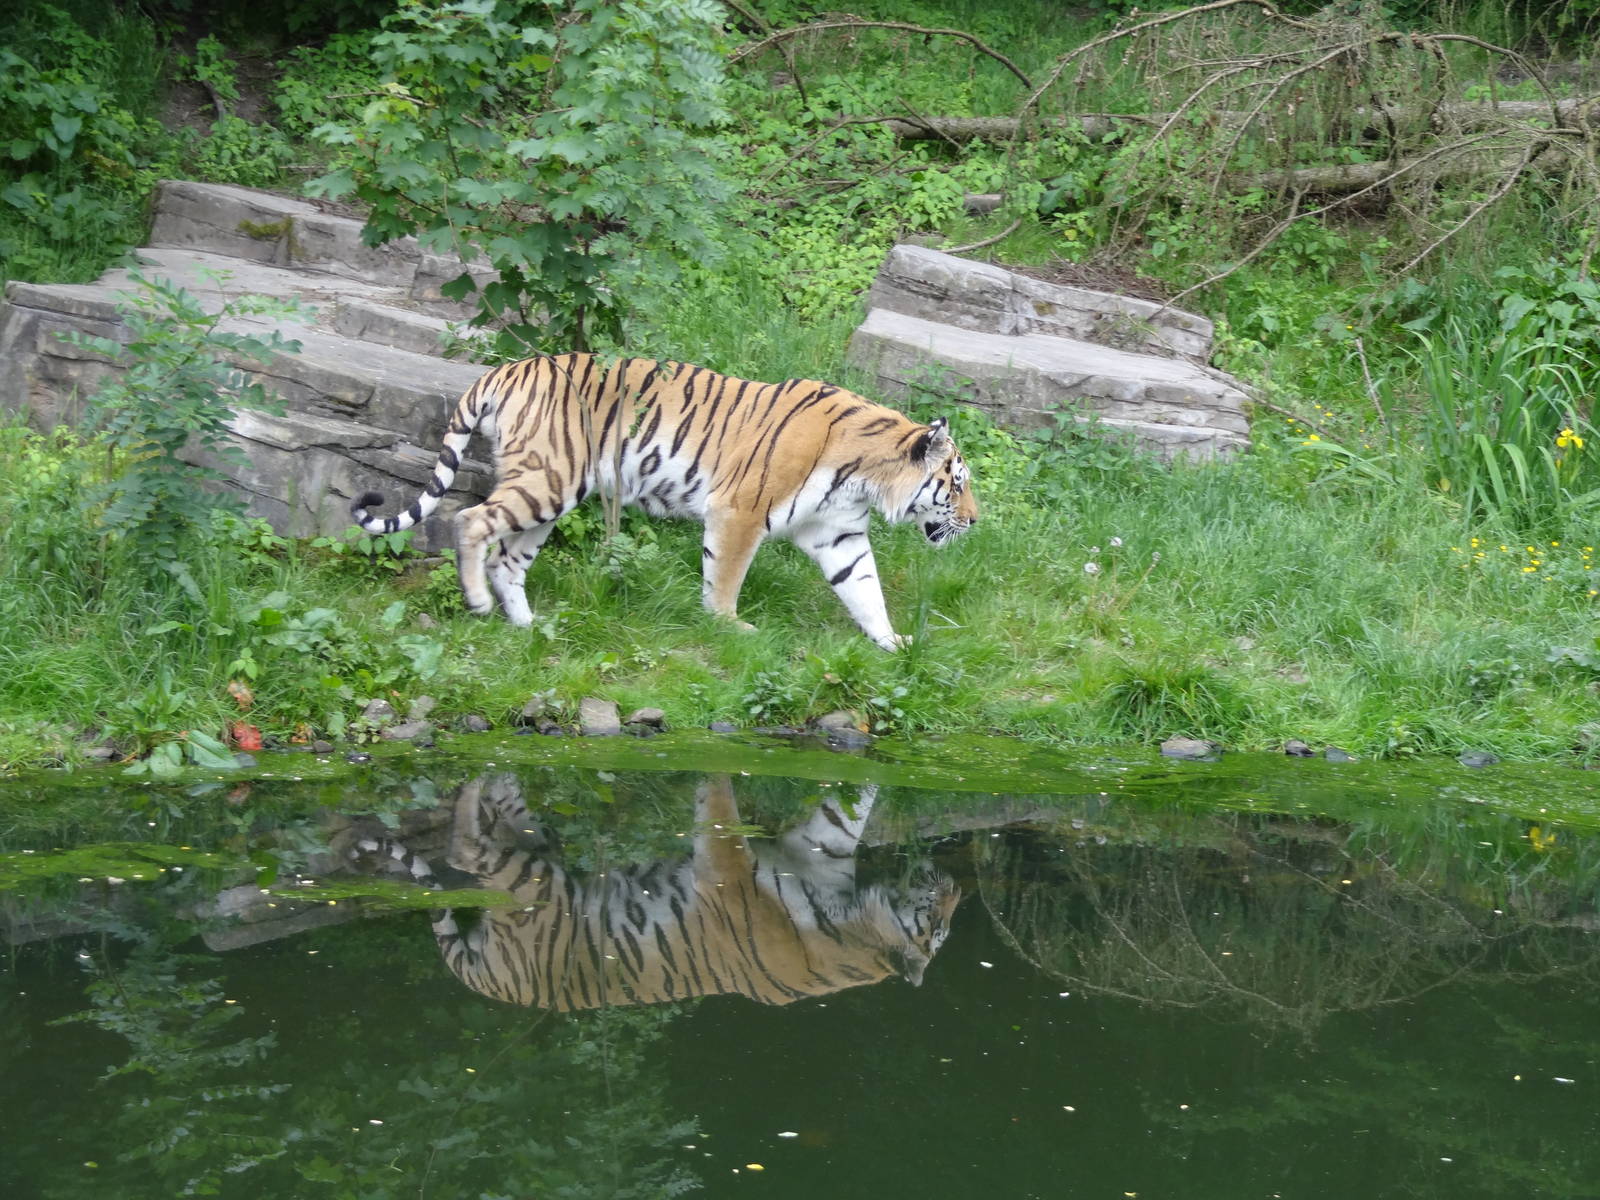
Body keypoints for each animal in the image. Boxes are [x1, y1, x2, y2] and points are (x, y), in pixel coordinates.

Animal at [347, 772, 962, 1010]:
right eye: (937, 925)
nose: (956, 882)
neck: (853, 923)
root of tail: (495, 984)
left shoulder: (817, 846)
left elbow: (853, 802)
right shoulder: (740, 866)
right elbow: (724, 810)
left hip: (531, 877)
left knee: (477, 846)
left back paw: (493, 784)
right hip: (534, 880)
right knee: (465, 849)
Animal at [349, 353, 978, 650]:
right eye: (958, 482)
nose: (975, 521)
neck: (864, 475)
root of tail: (507, 367)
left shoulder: (839, 534)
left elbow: (865, 590)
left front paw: (894, 643)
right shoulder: (740, 511)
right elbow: (725, 576)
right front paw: (730, 628)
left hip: (552, 493)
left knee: (508, 558)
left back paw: (527, 626)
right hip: (548, 480)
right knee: (470, 519)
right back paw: (479, 602)